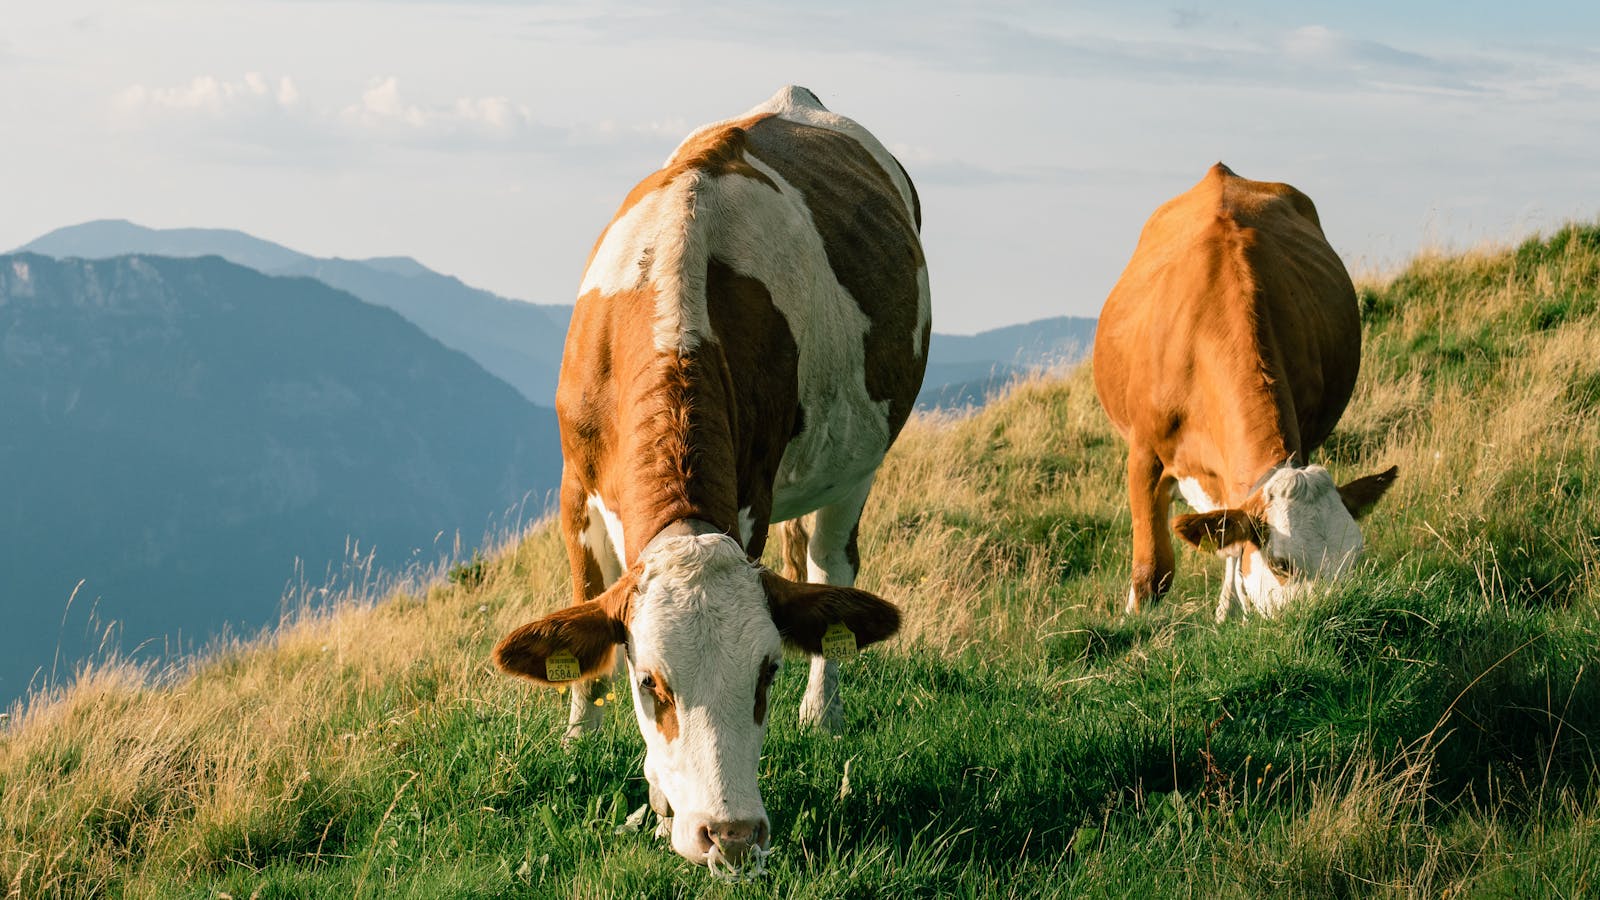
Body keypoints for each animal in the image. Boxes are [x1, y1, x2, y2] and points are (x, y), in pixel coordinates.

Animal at [492, 87, 934, 871]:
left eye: (767, 672)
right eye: (648, 683)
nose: (731, 836)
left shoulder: (750, 492)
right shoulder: (575, 486)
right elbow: (582, 609)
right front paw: (580, 744)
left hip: (857, 465)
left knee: (829, 564)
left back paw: (824, 712)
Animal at [1094, 164, 1395, 621]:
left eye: (1355, 560)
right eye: (1282, 564)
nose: (1335, 621)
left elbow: (1233, 544)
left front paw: (1232, 611)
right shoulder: (1143, 454)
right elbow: (1152, 572)